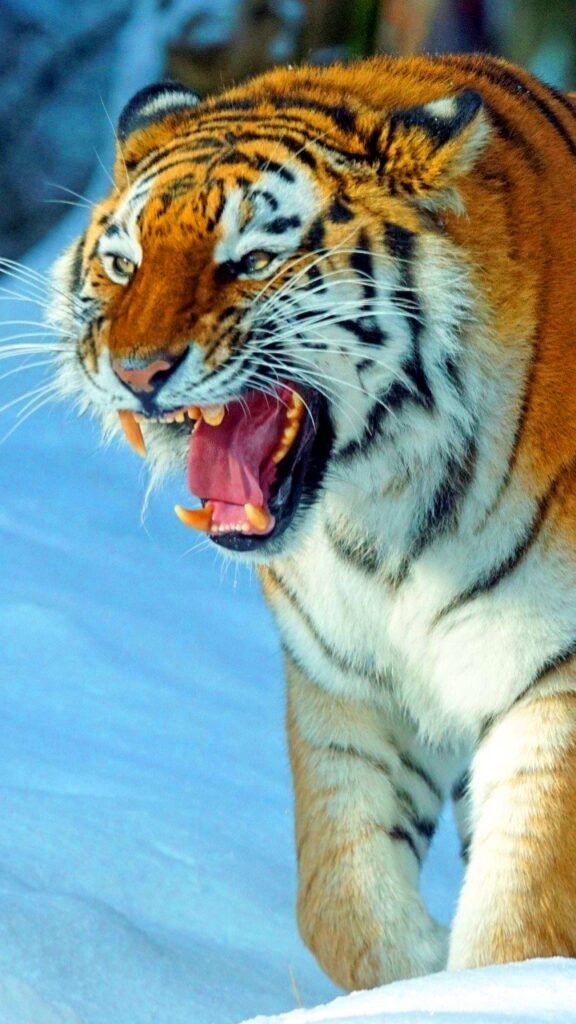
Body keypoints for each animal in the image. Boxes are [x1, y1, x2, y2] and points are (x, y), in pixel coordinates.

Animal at [47, 52, 576, 991]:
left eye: (253, 260)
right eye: (123, 263)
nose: (136, 371)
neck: (388, 519)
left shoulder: (559, 675)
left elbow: (525, 916)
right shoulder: (345, 678)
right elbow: (339, 898)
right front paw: (416, 977)